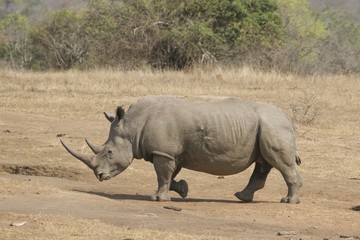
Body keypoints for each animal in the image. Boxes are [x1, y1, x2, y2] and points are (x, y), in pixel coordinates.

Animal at [60, 95, 302, 202]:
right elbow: (170, 175)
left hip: (273, 126)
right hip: (267, 127)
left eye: (109, 152)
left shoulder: (163, 152)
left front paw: (157, 199)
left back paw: (288, 201)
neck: (133, 127)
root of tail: (289, 120)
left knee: (278, 162)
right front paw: (182, 190)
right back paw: (242, 196)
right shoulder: (169, 152)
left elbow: (162, 175)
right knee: (264, 163)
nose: (99, 175)